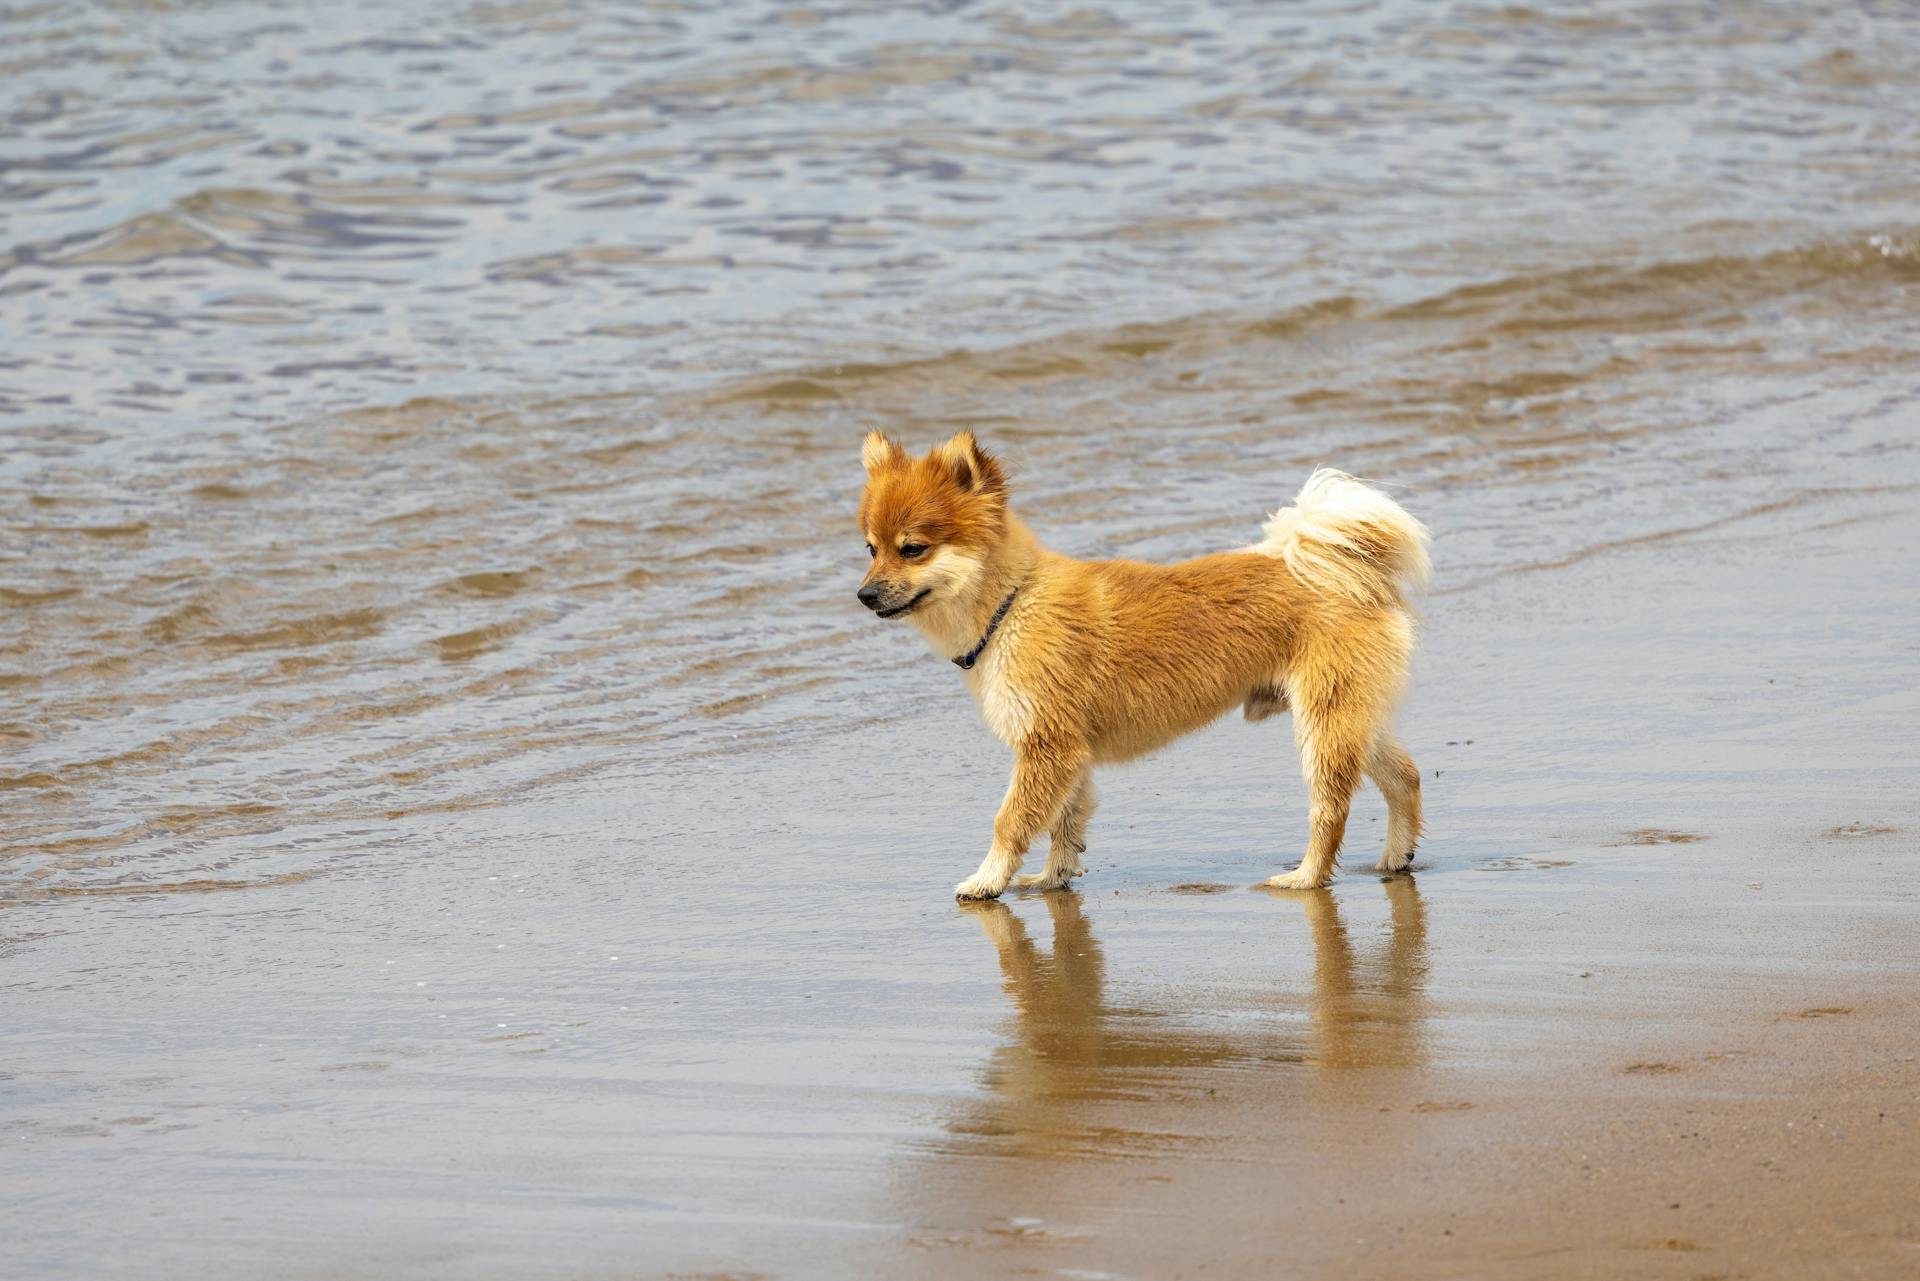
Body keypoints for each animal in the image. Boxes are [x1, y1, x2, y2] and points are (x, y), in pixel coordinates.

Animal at [856, 430, 1428, 902]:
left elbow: (1012, 822)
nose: (864, 595)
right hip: (1354, 718)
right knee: (1405, 776)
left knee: (1331, 809)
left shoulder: (1047, 747)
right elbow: (1066, 824)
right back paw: (1396, 856)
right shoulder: (1069, 753)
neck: (1012, 605)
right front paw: (1051, 879)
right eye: (870, 548)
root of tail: (1348, 572)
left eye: (913, 549)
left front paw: (986, 879)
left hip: (1323, 726)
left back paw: (1306, 876)